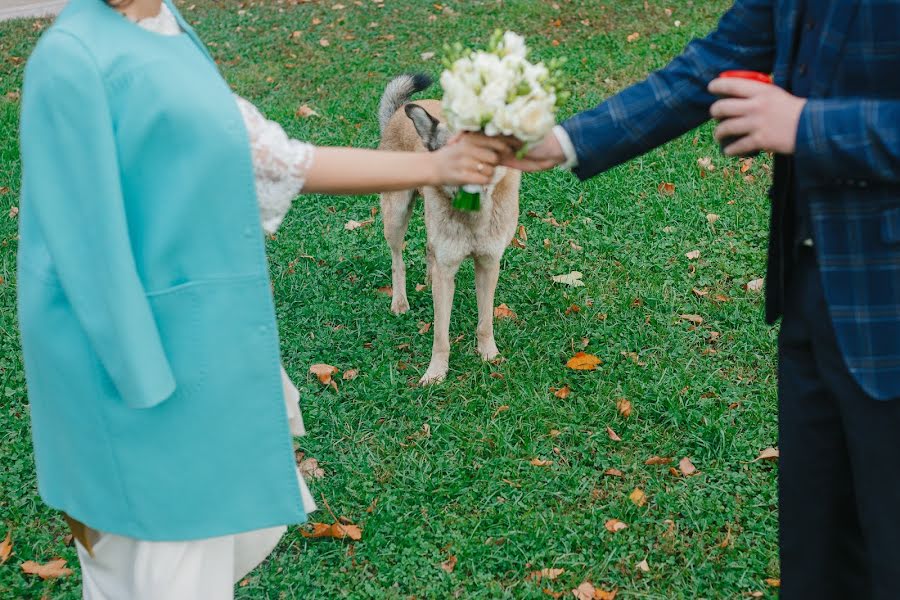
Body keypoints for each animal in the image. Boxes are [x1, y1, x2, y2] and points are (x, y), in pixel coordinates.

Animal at [378, 75, 520, 384]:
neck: (473, 222)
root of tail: (397, 114)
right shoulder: (448, 274)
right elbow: (440, 335)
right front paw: (436, 372)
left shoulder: (488, 265)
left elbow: (485, 321)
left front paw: (489, 355)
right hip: (396, 216)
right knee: (397, 260)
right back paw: (399, 301)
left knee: (429, 248)